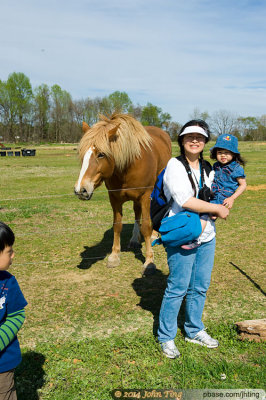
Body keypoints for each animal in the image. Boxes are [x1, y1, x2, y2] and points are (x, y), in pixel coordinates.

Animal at [74, 112, 171, 276]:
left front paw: (149, 261)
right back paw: (134, 239)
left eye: (101, 154)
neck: (128, 165)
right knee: (136, 213)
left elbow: (146, 225)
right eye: (82, 154)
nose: (81, 190)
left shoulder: (145, 196)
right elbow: (117, 225)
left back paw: (153, 235)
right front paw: (114, 256)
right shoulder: (114, 199)